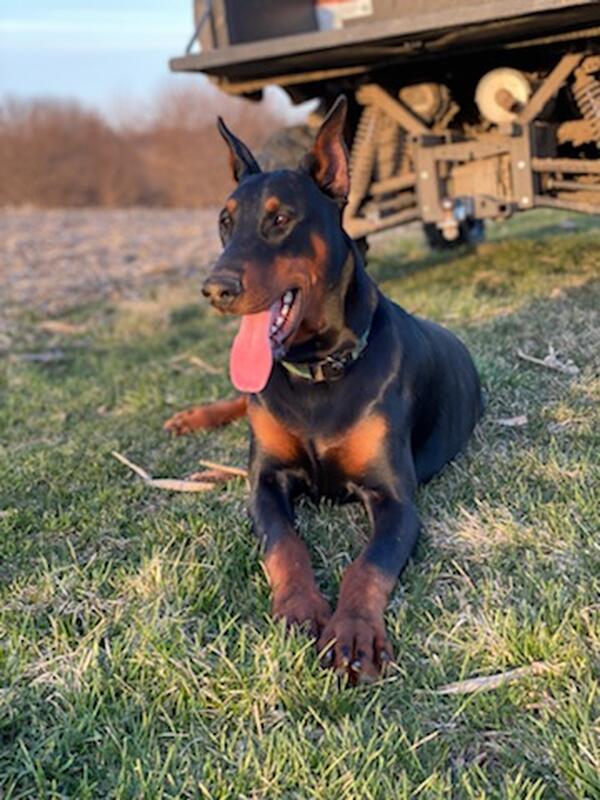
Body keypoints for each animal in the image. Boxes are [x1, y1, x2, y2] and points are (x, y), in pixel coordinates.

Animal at [165, 96, 483, 683]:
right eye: (224, 221)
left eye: (280, 218)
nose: (215, 289)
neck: (318, 374)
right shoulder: (265, 482)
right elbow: (285, 544)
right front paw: (301, 608)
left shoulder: (395, 500)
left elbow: (367, 566)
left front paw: (354, 631)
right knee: (240, 398)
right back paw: (191, 416)